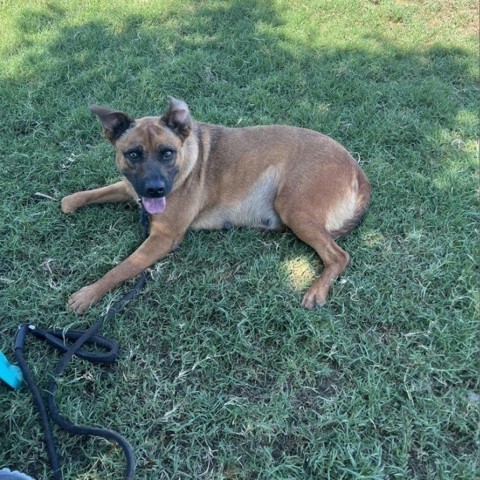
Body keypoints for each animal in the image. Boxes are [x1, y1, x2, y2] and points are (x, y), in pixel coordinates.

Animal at [62, 97, 372, 316]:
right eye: (133, 154)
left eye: (167, 153)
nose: (155, 190)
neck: (186, 159)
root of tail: (356, 169)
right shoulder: (130, 188)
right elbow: (89, 194)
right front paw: (72, 201)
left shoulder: (162, 238)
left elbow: (121, 268)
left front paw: (89, 293)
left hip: (294, 209)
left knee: (338, 256)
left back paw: (316, 291)